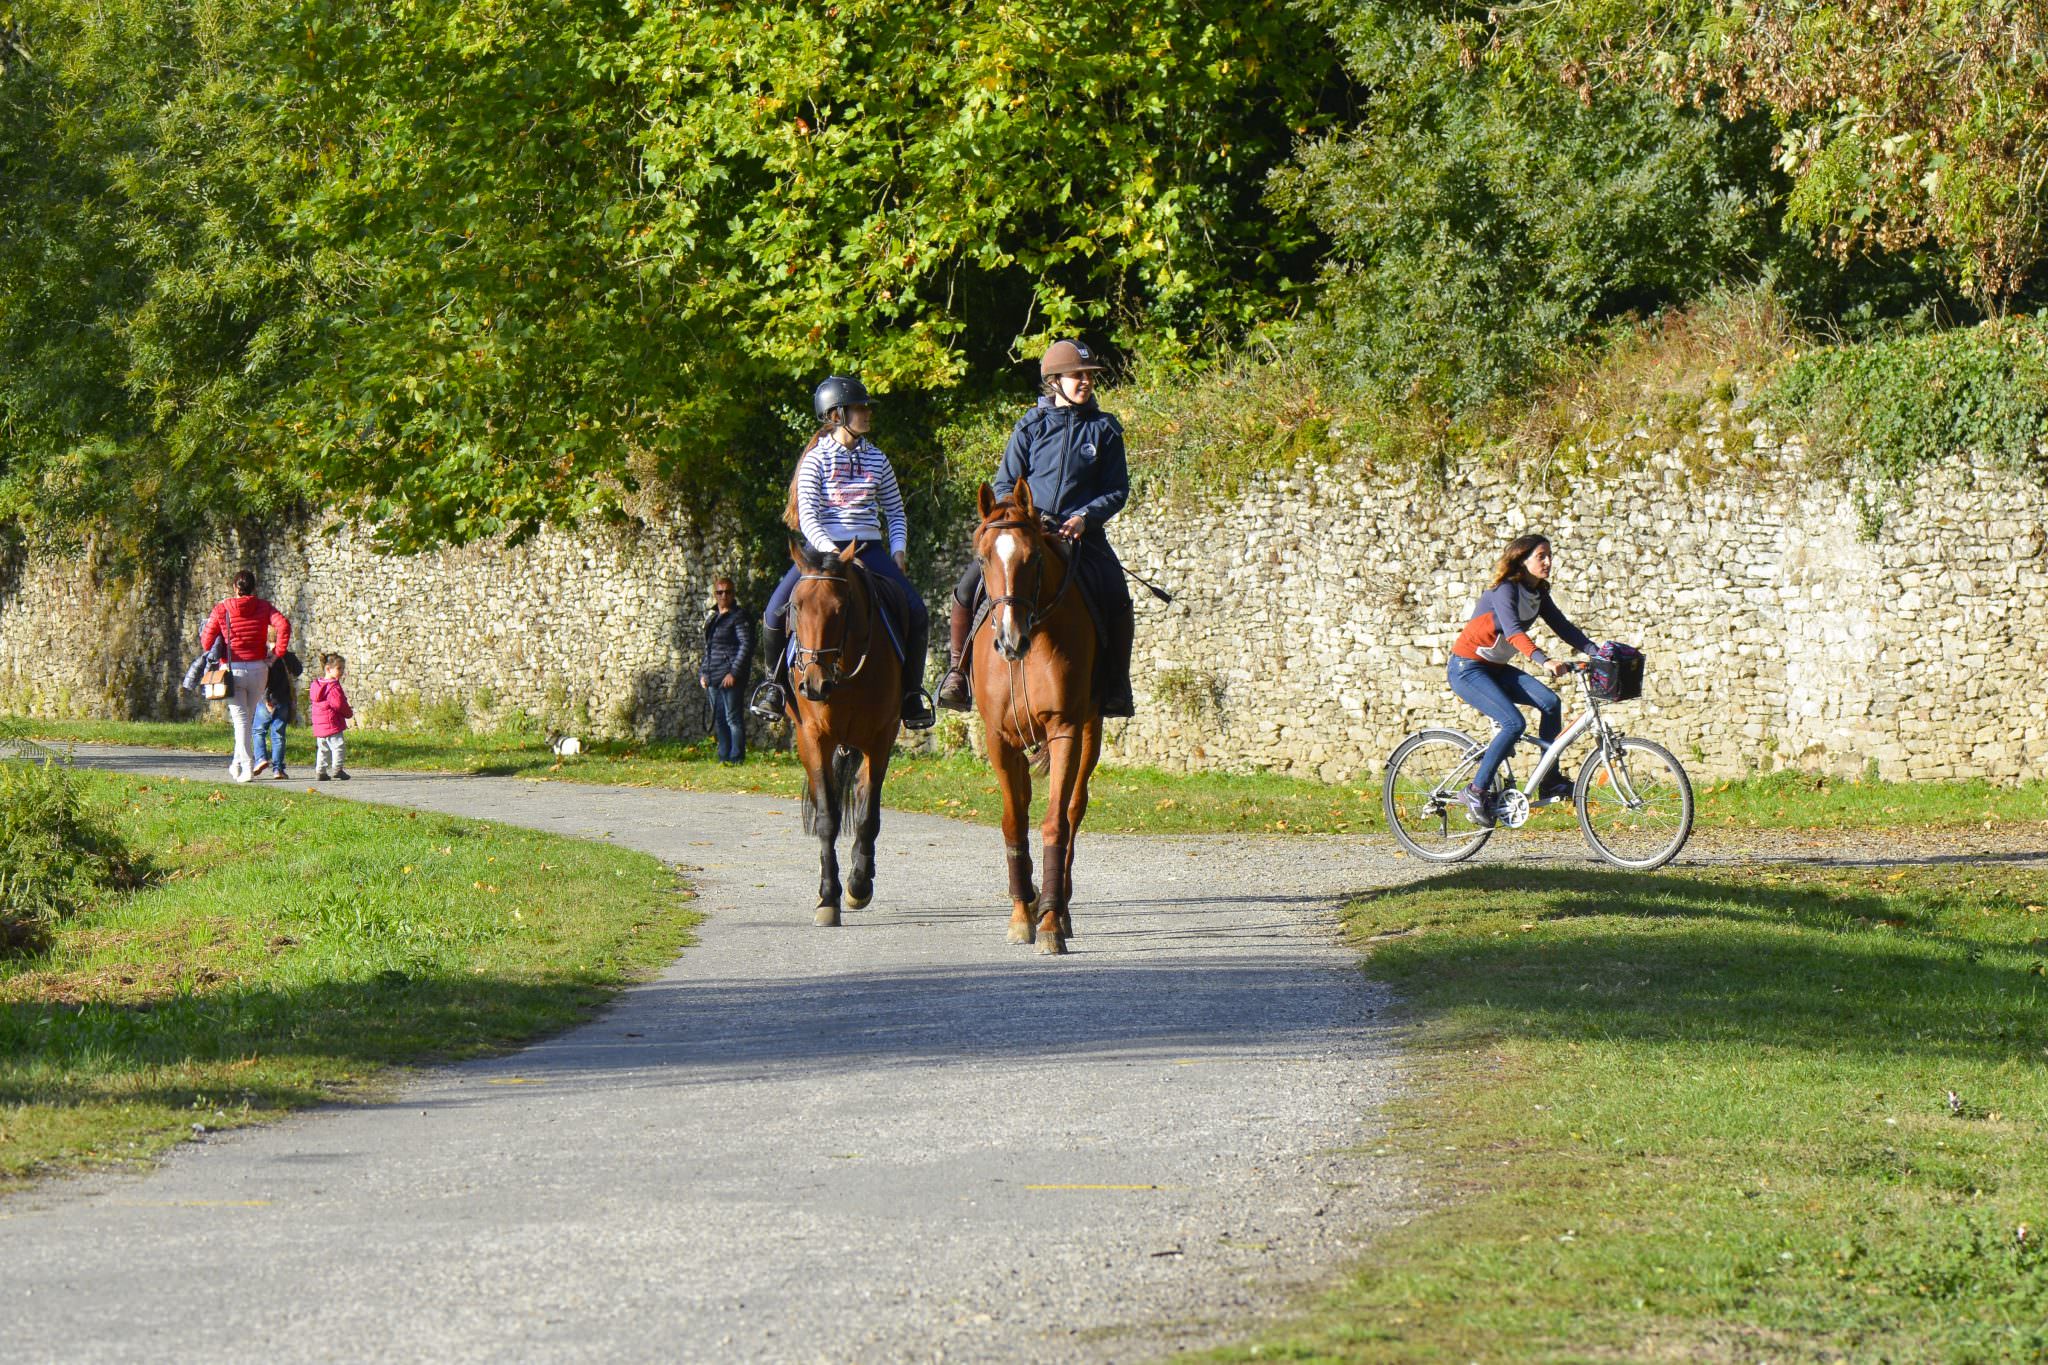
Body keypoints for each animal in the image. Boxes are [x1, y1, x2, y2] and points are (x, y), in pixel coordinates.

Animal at [778, 540, 901, 925]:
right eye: (796, 606)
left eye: (841, 608)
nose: (814, 685)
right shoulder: (814, 739)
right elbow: (827, 818)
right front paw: (827, 897)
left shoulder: (881, 739)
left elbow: (867, 816)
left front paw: (858, 886)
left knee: (861, 795)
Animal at [962, 480, 1097, 961]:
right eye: (984, 557)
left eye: (1033, 557)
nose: (1009, 640)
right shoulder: (1000, 740)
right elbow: (1013, 822)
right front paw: (1022, 914)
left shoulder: (1065, 731)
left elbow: (1056, 821)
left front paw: (1051, 924)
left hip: (1090, 734)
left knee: (1074, 811)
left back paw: (1060, 907)